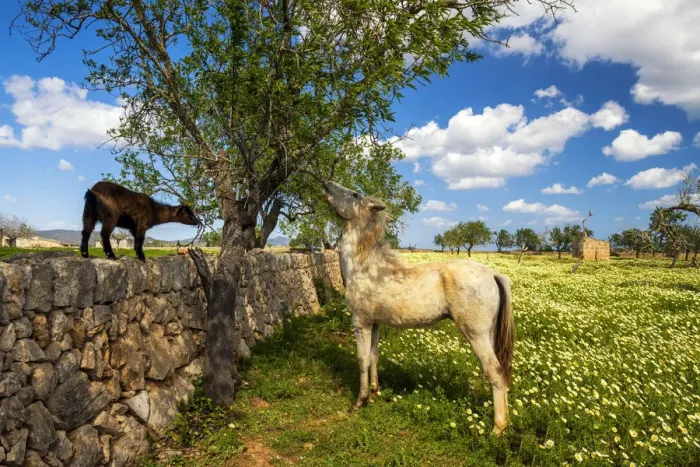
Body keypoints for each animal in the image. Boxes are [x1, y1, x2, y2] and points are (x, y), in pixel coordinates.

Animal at [322, 181, 514, 435]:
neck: (364, 266)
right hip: (489, 334)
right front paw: (374, 392)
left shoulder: (360, 322)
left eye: (354, 195)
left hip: (477, 335)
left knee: (495, 372)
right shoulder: (375, 325)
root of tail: (493, 274)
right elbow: (374, 357)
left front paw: (360, 401)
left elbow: (362, 360)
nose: (326, 184)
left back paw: (497, 429)